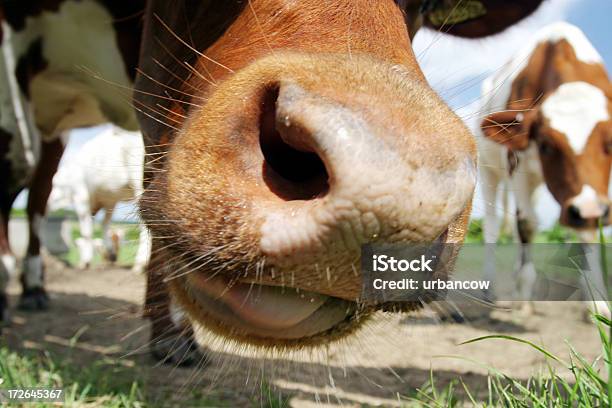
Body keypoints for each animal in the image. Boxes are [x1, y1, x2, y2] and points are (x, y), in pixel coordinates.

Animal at [47, 124, 151, 270]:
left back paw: (140, 263)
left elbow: (86, 231)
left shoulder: (81, 197)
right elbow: (104, 223)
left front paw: (85, 262)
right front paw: (110, 253)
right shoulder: (109, 200)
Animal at [480, 21, 608, 316]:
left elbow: (589, 231)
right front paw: (524, 298)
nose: (586, 208)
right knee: (493, 226)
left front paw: (597, 301)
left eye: (610, 143)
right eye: (547, 145)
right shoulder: (516, 162)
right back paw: (492, 288)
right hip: (488, 171)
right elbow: (526, 224)